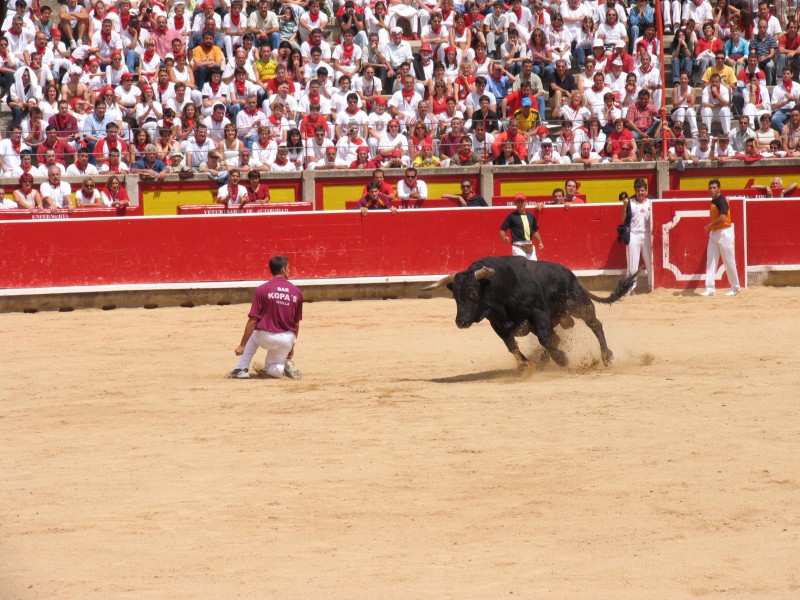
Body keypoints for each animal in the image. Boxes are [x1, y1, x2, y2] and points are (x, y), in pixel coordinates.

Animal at [418, 255, 636, 368]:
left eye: (473, 293)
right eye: (455, 296)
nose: (461, 322)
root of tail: (572, 275)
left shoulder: (538, 313)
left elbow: (544, 339)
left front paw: (562, 359)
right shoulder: (499, 325)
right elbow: (512, 346)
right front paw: (526, 366)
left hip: (579, 305)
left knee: (595, 325)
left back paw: (607, 356)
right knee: (557, 337)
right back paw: (542, 363)